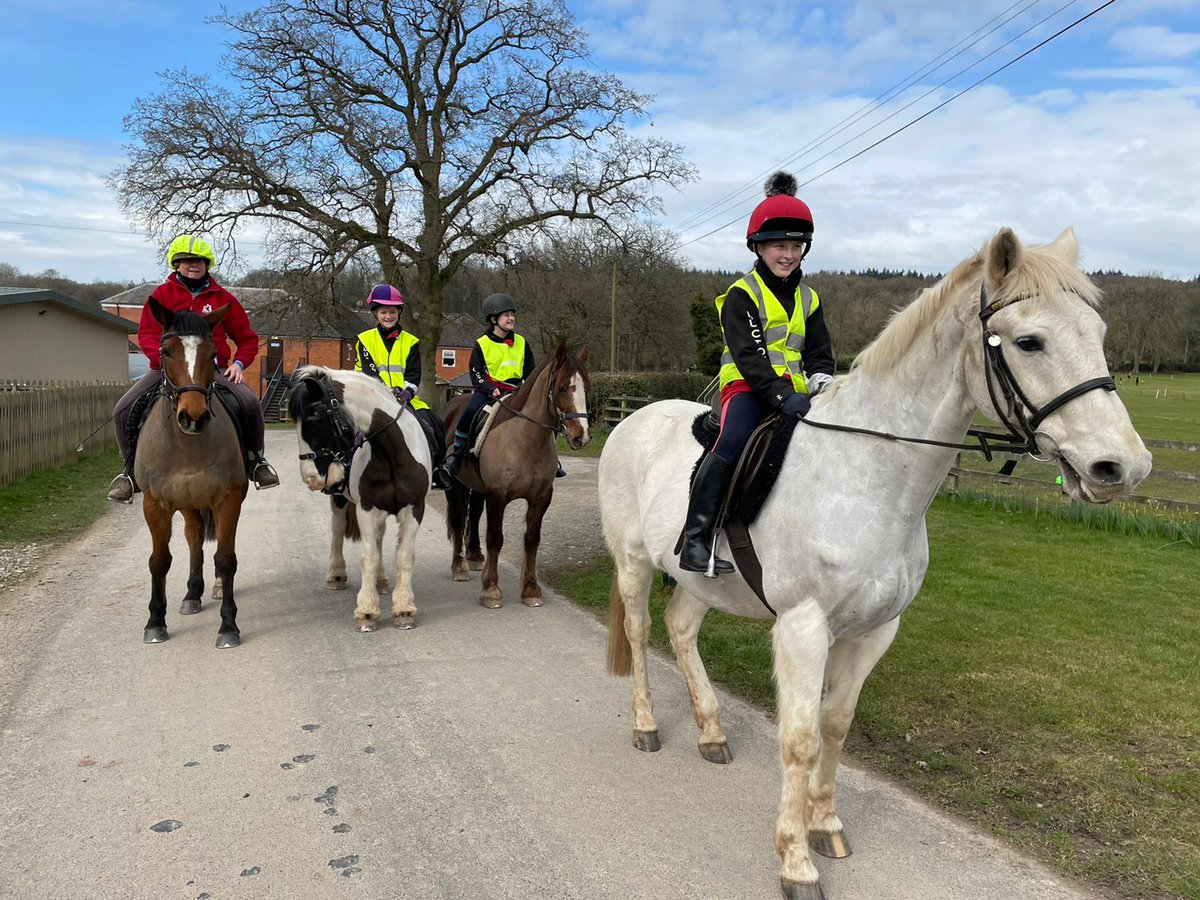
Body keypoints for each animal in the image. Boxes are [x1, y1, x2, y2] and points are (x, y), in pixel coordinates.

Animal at [135, 298, 248, 649]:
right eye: (166, 351)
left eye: (213, 353)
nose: (193, 416)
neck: (188, 448)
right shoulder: (155, 505)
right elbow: (159, 561)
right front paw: (155, 623)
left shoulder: (228, 500)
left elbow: (226, 559)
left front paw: (228, 626)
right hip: (186, 503)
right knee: (194, 537)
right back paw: (192, 594)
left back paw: (213, 588)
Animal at [288, 366, 432, 631]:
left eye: (314, 418)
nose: (310, 477)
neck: (392, 453)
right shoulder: (367, 509)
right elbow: (369, 557)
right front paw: (367, 612)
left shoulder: (414, 509)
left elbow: (404, 557)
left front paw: (404, 610)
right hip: (339, 500)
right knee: (337, 529)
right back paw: (336, 575)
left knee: (379, 536)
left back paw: (382, 581)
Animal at [441, 342, 591, 608]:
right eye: (563, 387)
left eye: (588, 387)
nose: (580, 436)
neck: (526, 440)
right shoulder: (497, 495)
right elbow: (495, 539)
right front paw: (491, 590)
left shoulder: (541, 498)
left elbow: (532, 539)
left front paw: (531, 589)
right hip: (456, 486)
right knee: (459, 521)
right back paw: (459, 567)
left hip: (478, 488)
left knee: (474, 515)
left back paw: (474, 556)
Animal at [598, 228, 1151, 900]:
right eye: (1029, 342)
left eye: (1097, 335)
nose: (1122, 467)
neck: (871, 476)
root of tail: (632, 417)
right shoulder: (804, 629)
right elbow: (800, 739)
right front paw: (795, 862)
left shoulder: (874, 630)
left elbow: (835, 725)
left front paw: (826, 826)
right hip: (632, 565)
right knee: (640, 631)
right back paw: (647, 726)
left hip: (697, 582)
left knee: (680, 630)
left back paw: (711, 732)